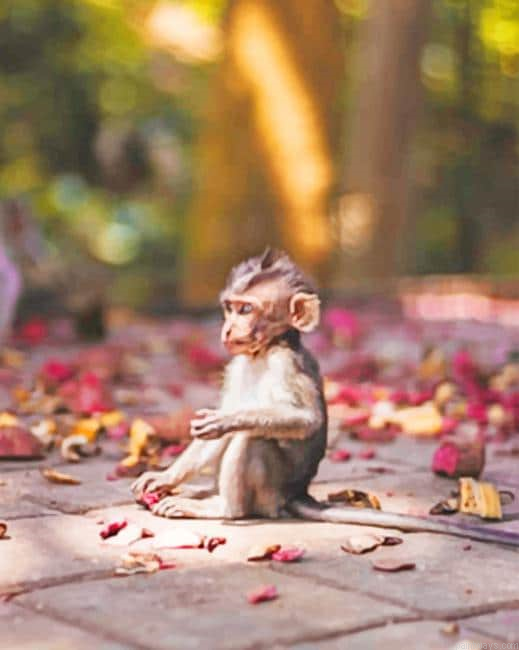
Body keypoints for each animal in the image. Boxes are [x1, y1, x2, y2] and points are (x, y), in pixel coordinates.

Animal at [132, 249, 519, 547]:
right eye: (229, 307)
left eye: (246, 310)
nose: (227, 329)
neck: (264, 351)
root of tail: (296, 492)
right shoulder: (237, 364)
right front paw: (164, 476)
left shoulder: (286, 364)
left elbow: (304, 420)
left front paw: (228, 420)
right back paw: (199, 494)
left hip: (271, 491)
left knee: (253, 440)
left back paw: (221, 507)